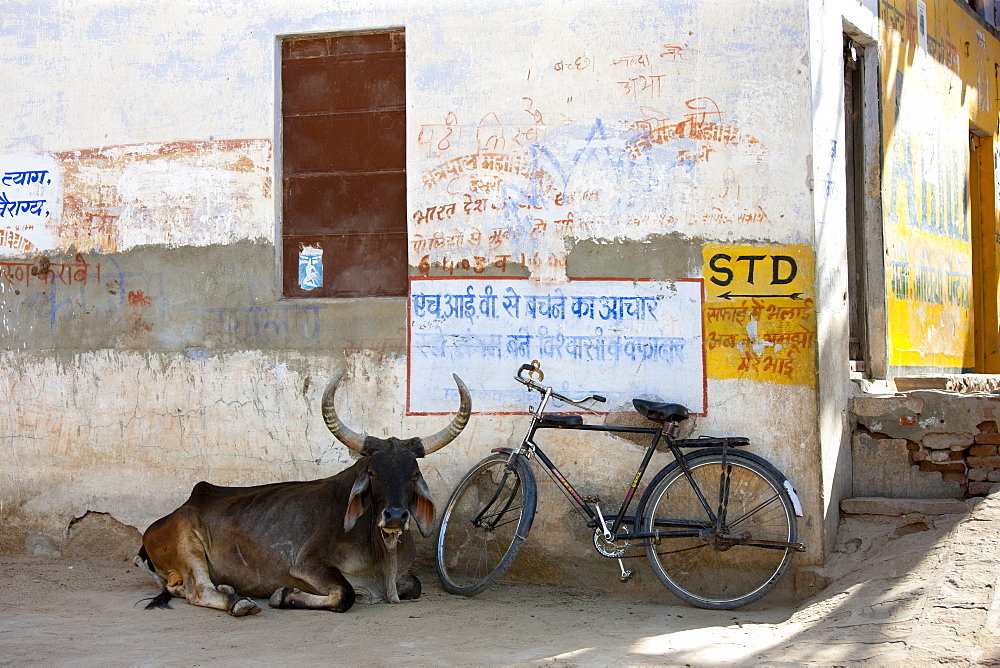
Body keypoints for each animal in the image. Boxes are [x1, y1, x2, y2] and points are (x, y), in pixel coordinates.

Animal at [134, 370, 472, 616]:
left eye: (413, 474)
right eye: (373, 473)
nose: (396, 516)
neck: (381, 552)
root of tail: (179, 509)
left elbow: (414, 585)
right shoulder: (308, 566)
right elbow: (345, 594)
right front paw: (283, 595)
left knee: (183, 587)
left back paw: (229, 589)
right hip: (187, 543)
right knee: (199, 590)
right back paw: (238, 601)